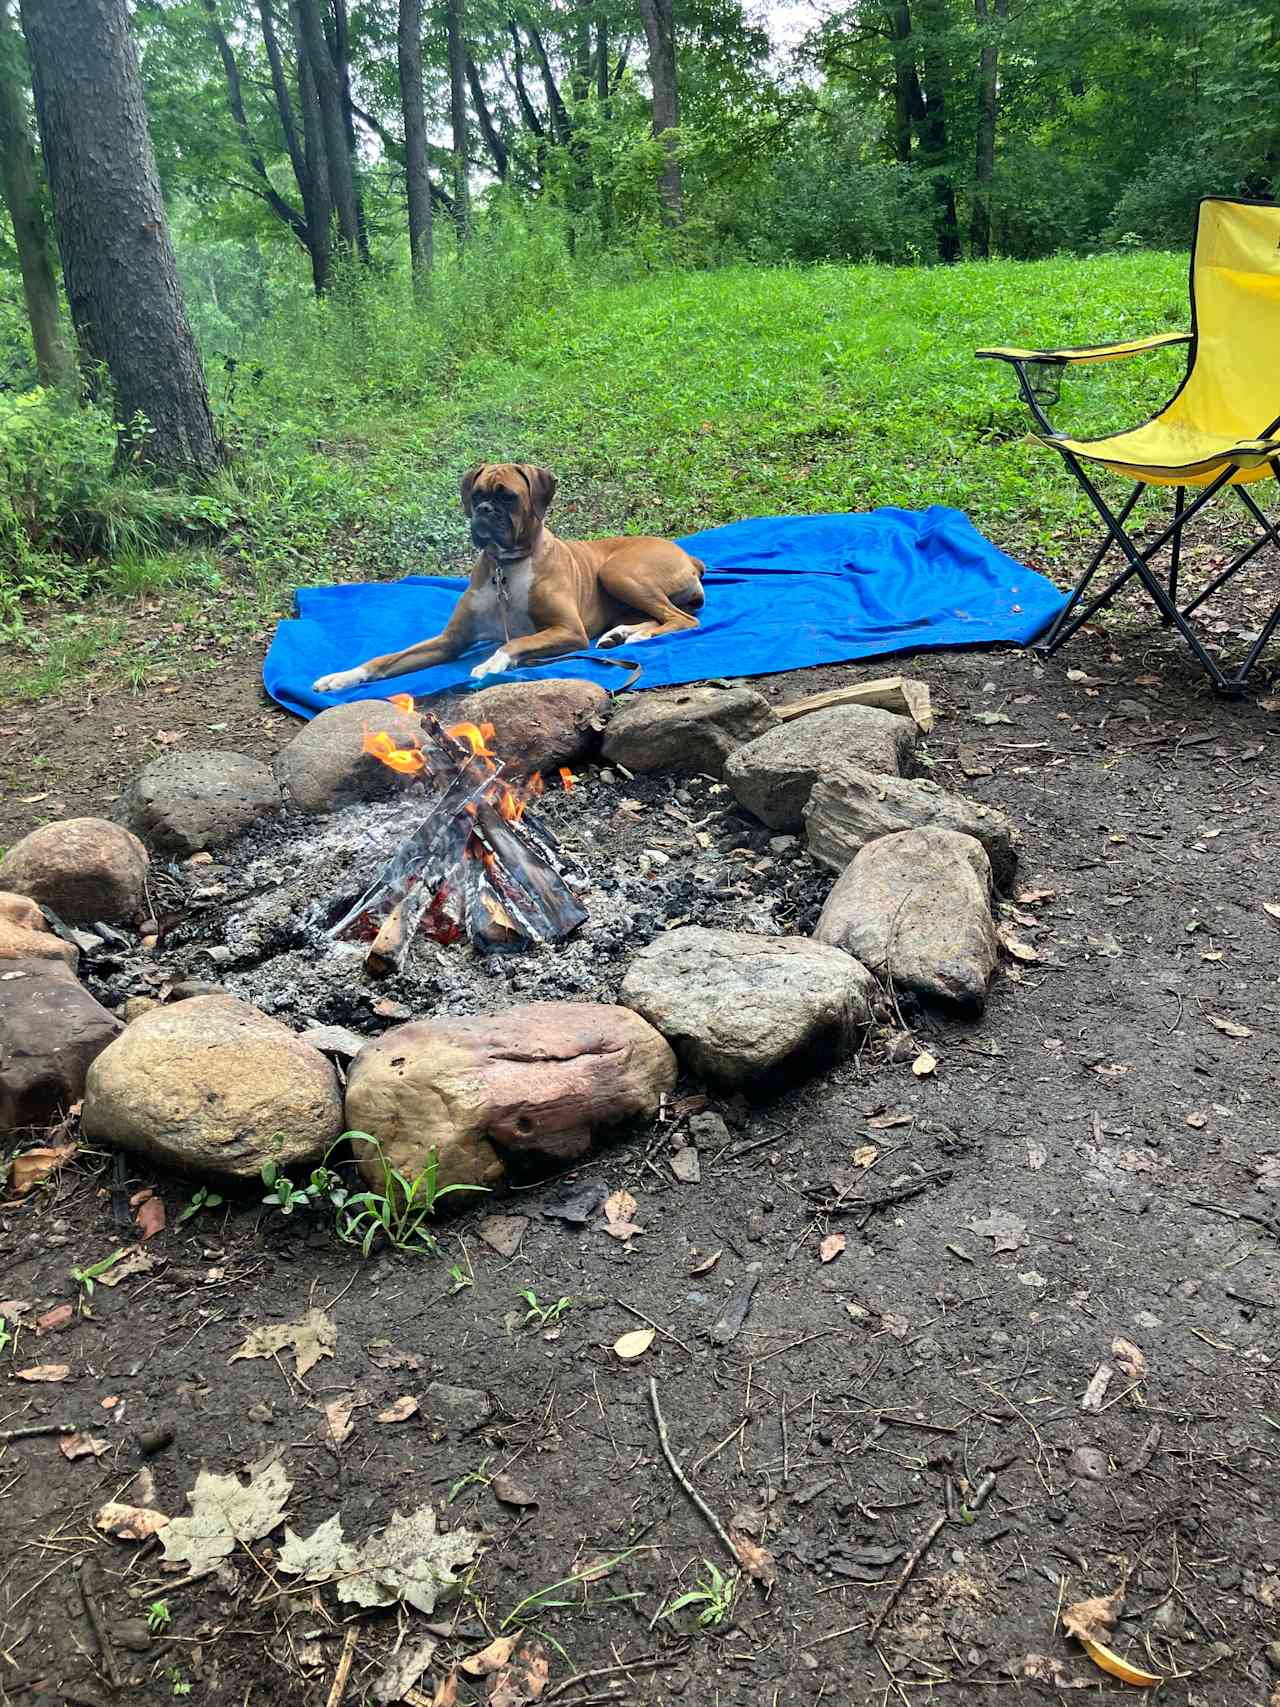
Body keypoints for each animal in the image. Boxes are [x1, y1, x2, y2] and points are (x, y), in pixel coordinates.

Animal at [314, 467, 706, 693]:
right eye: (477, 495)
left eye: (508, 497)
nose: (485, 511)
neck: (506, 567)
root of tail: (688, 555)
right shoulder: (449, 641)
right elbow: (385, 659)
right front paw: (342, 676)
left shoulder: (568, 631)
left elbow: (515, 642)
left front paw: (492, 663)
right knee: (664, 616)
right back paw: (622, 633)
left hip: (618, 572)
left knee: (684, 619)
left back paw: (636, 636)